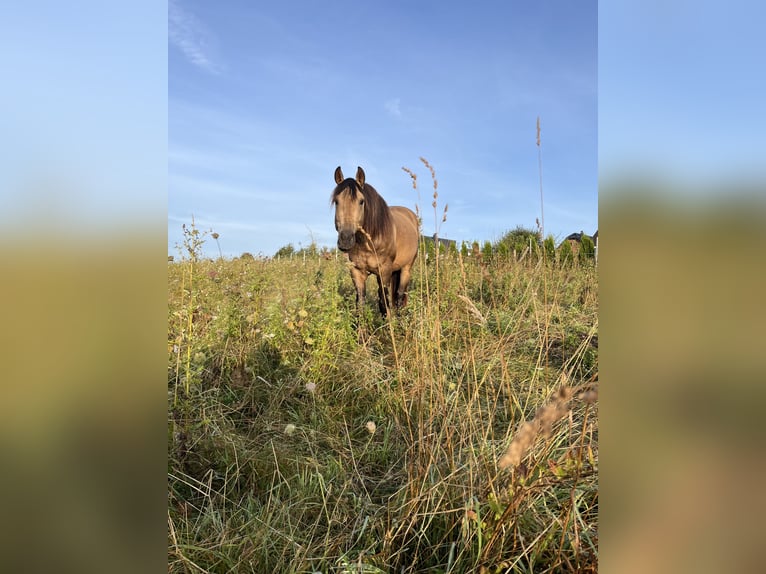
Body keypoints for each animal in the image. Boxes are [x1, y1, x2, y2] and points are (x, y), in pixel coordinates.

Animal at [330, 166, 420, 318]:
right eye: (337, 201)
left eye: (361, 201)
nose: (346, 240)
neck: (368, 241)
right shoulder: (357, 272)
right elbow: (360, 305)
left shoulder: (383, 271)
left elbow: (384, 304)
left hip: (406, 268)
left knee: (399, 297)